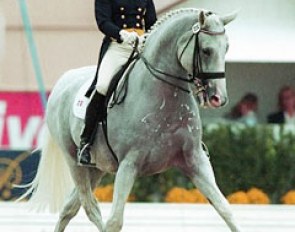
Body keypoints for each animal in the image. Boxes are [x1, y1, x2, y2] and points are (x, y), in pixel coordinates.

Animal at [24, 8, 243, 232]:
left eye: (226, 48)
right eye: (206, 50)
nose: (218, 98)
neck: (162, 95)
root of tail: (62, 82)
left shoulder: (195, 159)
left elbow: (225, 209)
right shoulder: (129, 164)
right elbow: (115, 221)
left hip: (96, 167)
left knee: (70, 207)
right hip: (74, 162)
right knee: (90, 206)